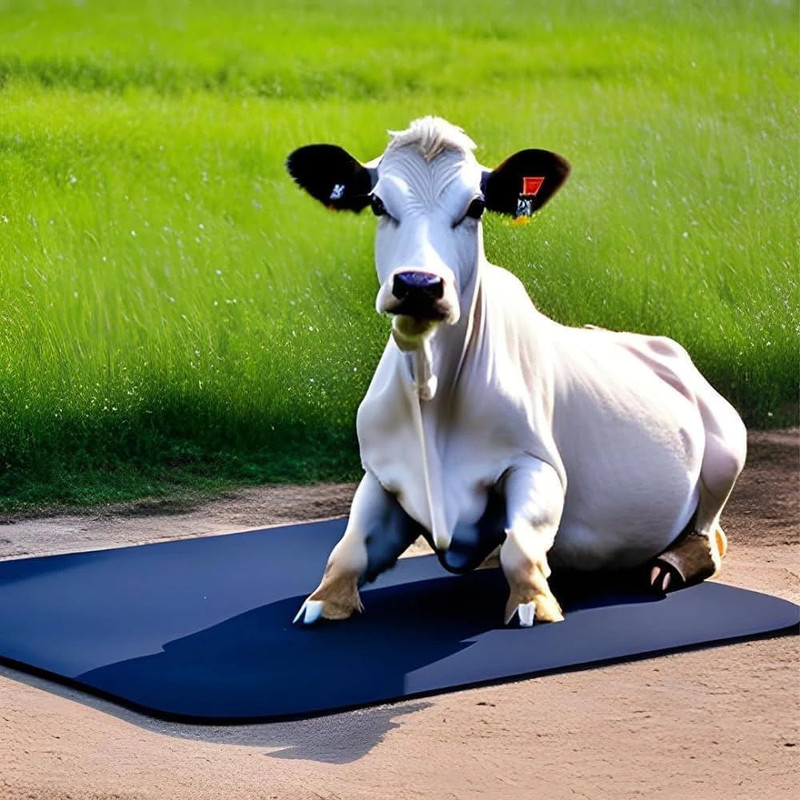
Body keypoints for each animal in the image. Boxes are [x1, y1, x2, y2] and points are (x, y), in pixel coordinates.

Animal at [286, 116, 747, 627]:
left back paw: (666, 566)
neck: (431, 393)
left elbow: (521, 546)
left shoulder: (537, 463)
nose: (418, 285)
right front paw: (324, 600)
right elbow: (346, 549)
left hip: (728, 449)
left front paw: (534, 602)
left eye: (476, 206)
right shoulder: (380, 473)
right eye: (377, 202)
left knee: (709, 537)